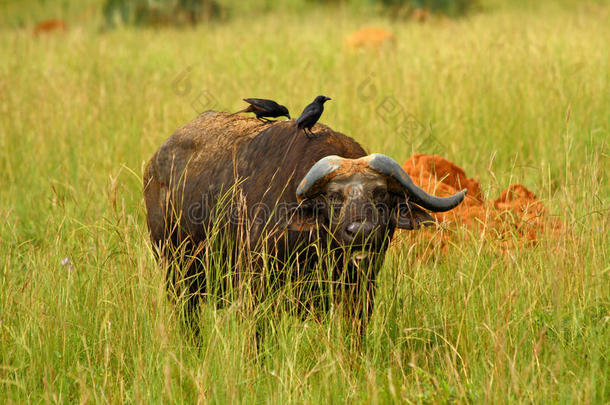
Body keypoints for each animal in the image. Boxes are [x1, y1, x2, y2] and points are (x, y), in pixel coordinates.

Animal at [144, 111, 466, 334]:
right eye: (333, 198)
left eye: (381, 195)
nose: (361, 232)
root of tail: (155, 166)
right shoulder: (257, 293)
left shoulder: (361, 293)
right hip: (177, 276)